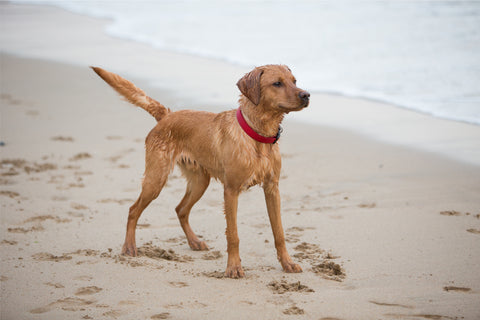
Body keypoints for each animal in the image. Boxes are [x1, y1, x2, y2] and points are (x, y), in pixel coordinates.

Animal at [91, 65, 312, 278]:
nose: (307, 95)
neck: (257, 135)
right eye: (277, 83)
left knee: (180, 209)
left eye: (294, 81)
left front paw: (287, 263)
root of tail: (167, 115)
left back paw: (194, 241)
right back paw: (129, 246)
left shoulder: (272, 188)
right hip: (156, 179)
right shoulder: (231, 190)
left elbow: (279, 232)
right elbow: (233, 235)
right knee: (133, 210)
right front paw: (233, 268)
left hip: (199, 182)